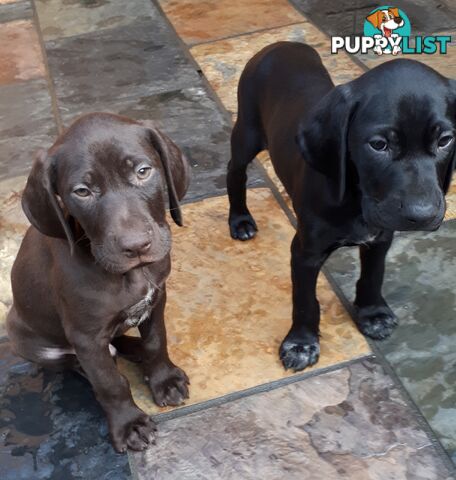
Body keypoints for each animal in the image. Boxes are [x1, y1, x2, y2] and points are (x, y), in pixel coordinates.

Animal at [6, 113, 191, 454]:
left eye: (143, 171)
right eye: (82, 192)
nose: (136, 246)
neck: (129, 275)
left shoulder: (157, 298)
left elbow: (156, 341)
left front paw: (164, 379)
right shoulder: (86, 336)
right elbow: (109, 382)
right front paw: (129, 424)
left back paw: (134, 350)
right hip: (24, 339)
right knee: (75, 362)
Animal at [230, 42, 454, 372]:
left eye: (445, 140)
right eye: (378, 145)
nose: (422, 215)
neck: (356, 199)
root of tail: (281, 44)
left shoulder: (381, 237)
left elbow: (373, 275)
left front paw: (372, 313)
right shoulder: (305, 251)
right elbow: (305, 300)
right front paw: (301, 343)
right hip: (247, 131)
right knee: (235, 171)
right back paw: (240, 220)